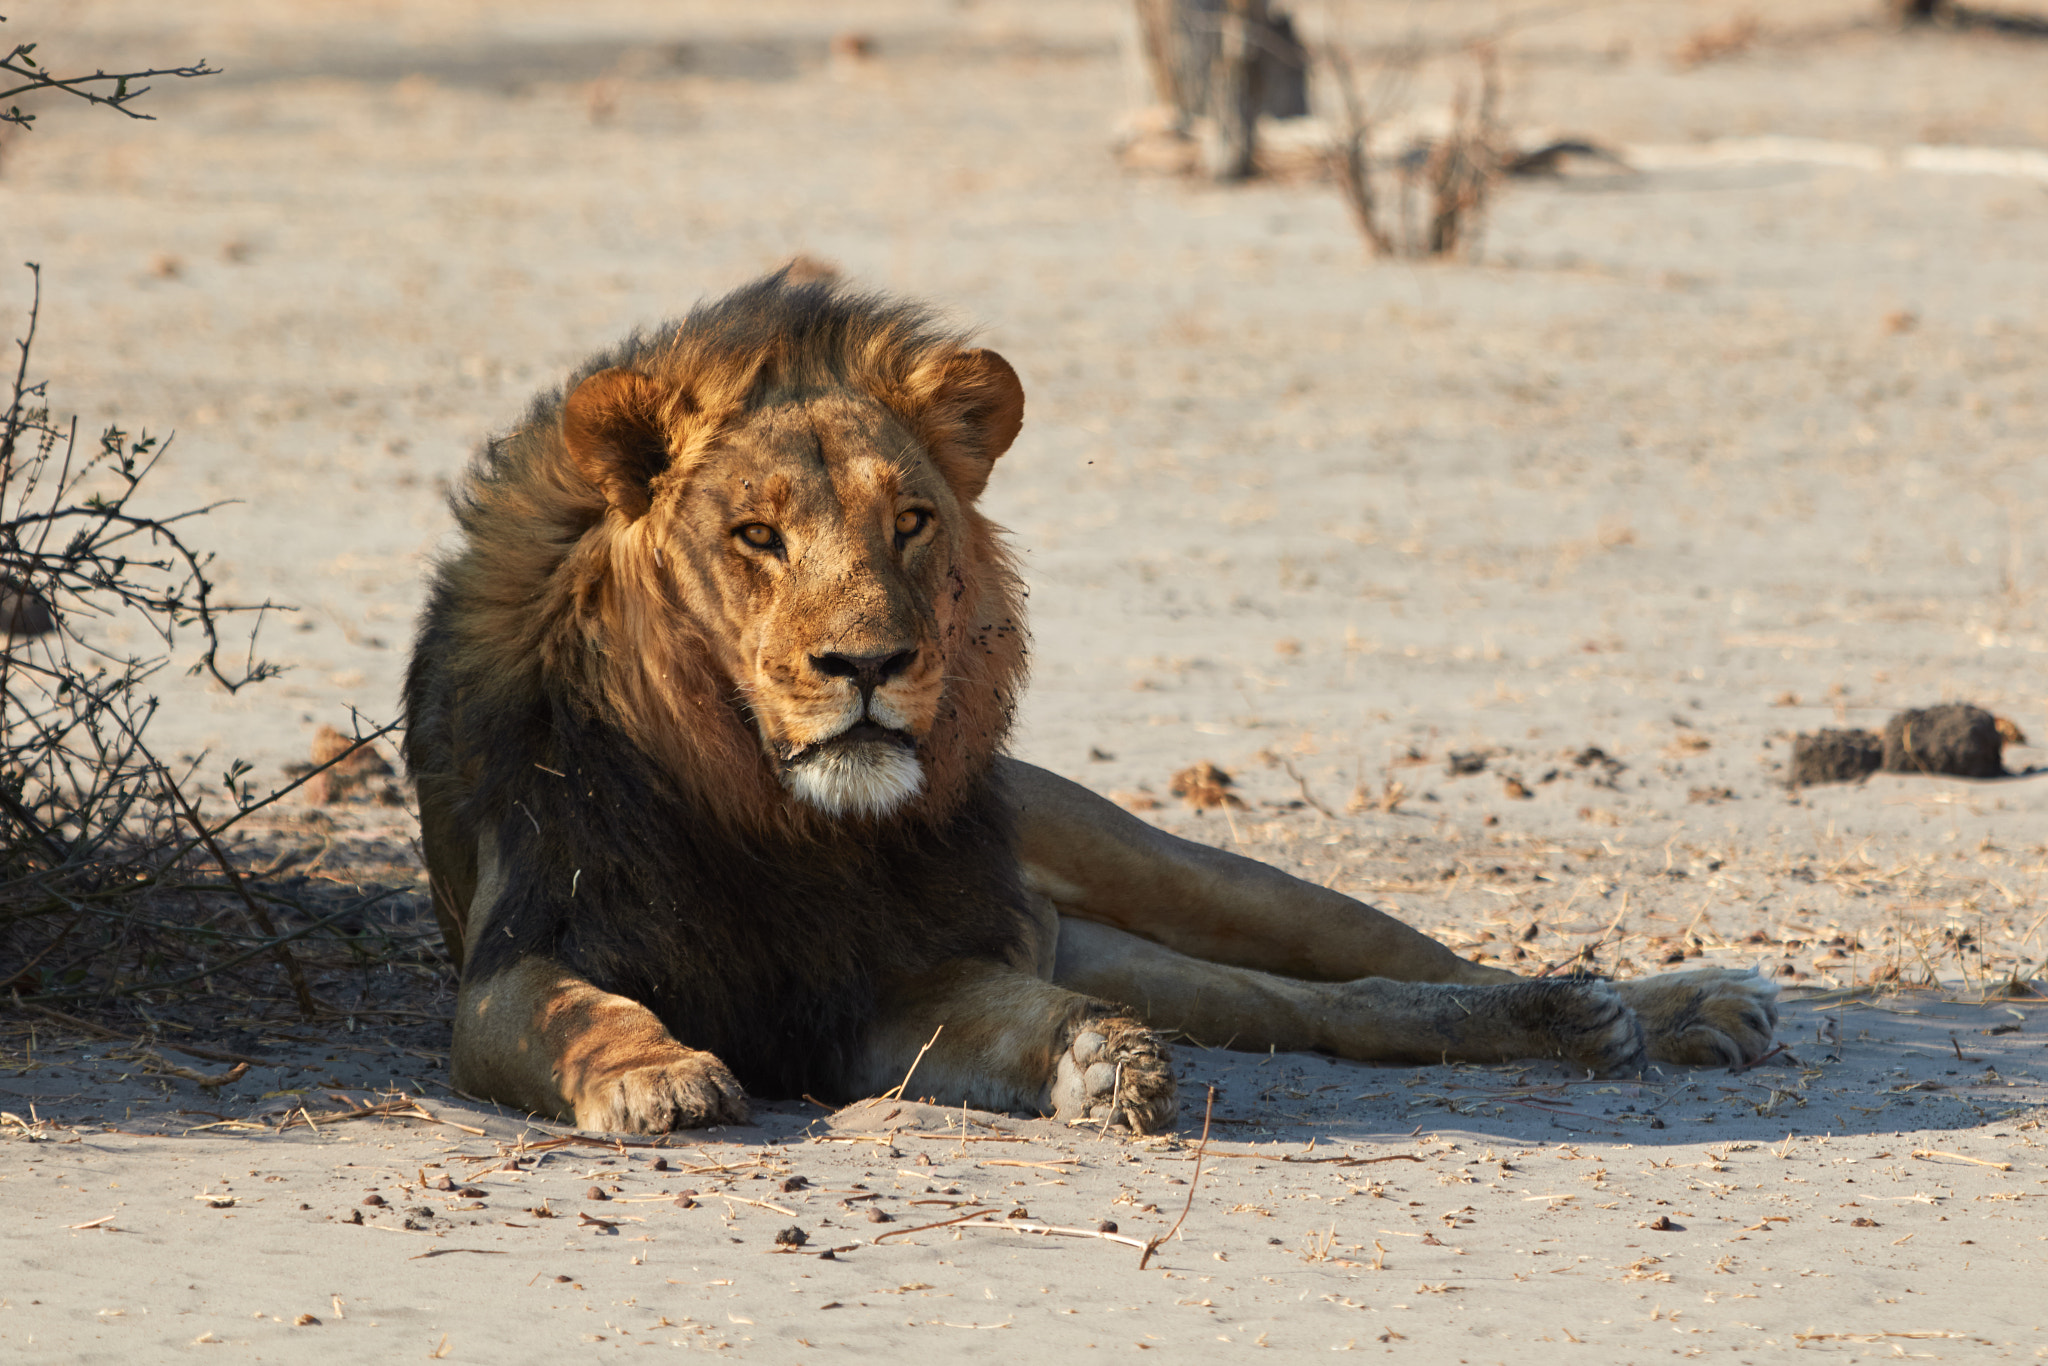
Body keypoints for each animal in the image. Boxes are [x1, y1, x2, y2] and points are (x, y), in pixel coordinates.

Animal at [403, 272, 1777, 1138]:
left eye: (910, 522)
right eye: (754, 536)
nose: (870, 663)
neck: (775, 816)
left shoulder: (900, 973)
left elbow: (1018, 1011)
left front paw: (1094, 1060)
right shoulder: (518, 958)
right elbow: (580, 1014)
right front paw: (660, 1078)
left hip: (1180, 871)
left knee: (1398, 964)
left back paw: (1655, 1007)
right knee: (1321, 1012)